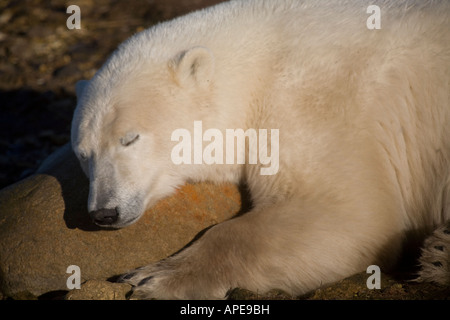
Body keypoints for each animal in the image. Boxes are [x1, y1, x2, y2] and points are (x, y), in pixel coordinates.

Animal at [72, 0, 450, 300]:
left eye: (130, 138)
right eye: (83, 153)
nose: (104, 213)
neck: (260, 64)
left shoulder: (313, 103)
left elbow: (349, 214)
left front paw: (152, 278)